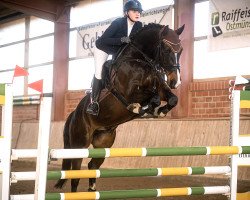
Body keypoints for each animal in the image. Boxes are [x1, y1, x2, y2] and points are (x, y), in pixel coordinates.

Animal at [54, 22, 184, 191]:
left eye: (180, 50)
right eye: (167, 50)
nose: (176, 82)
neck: (139, 60)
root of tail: (73, 114)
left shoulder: (160, 87)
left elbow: (172, 99)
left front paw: (159, 111)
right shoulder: (128, 92)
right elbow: (153, 98)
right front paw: (141, 109)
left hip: (103, 144)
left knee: (92, 166)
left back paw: (92, 189)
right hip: (79, 144)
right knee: (75, 175)